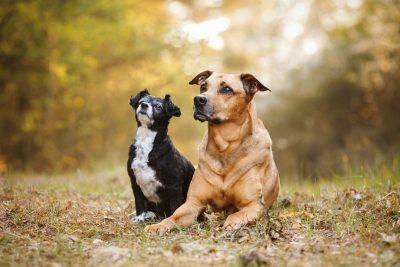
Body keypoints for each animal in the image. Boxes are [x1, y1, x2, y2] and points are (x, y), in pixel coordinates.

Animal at [127, 90, 195, 224]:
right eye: (141, 101)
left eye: (158, 106)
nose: (144, 105)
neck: (146, 140)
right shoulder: (134, 181)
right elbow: (139, 203)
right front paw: (139, 218)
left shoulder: (174, 185)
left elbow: (175, 207)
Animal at [145, 70, 280, 234]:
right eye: (203, 86)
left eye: (226, 89)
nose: (198, 99)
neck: (224, 147)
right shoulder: (194, 202)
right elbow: (173, 217)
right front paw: (158, 225)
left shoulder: (254, 204)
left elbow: (235, 215)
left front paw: (231, 224)